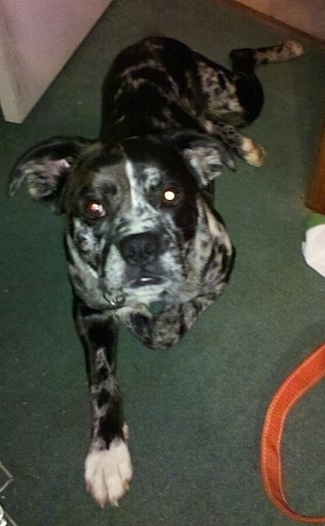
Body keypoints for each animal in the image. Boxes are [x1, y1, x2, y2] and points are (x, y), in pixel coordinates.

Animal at [8, 36, 302, 508]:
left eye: (170, 194)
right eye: (93, 207)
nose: (140, 246)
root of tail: (152, 40)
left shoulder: (221, 265)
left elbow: (166, 328)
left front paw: (144, 314)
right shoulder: (87, 309)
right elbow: (102, 381)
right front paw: (107, 454)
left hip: (238, 96)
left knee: (241, 62)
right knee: (211, 123)